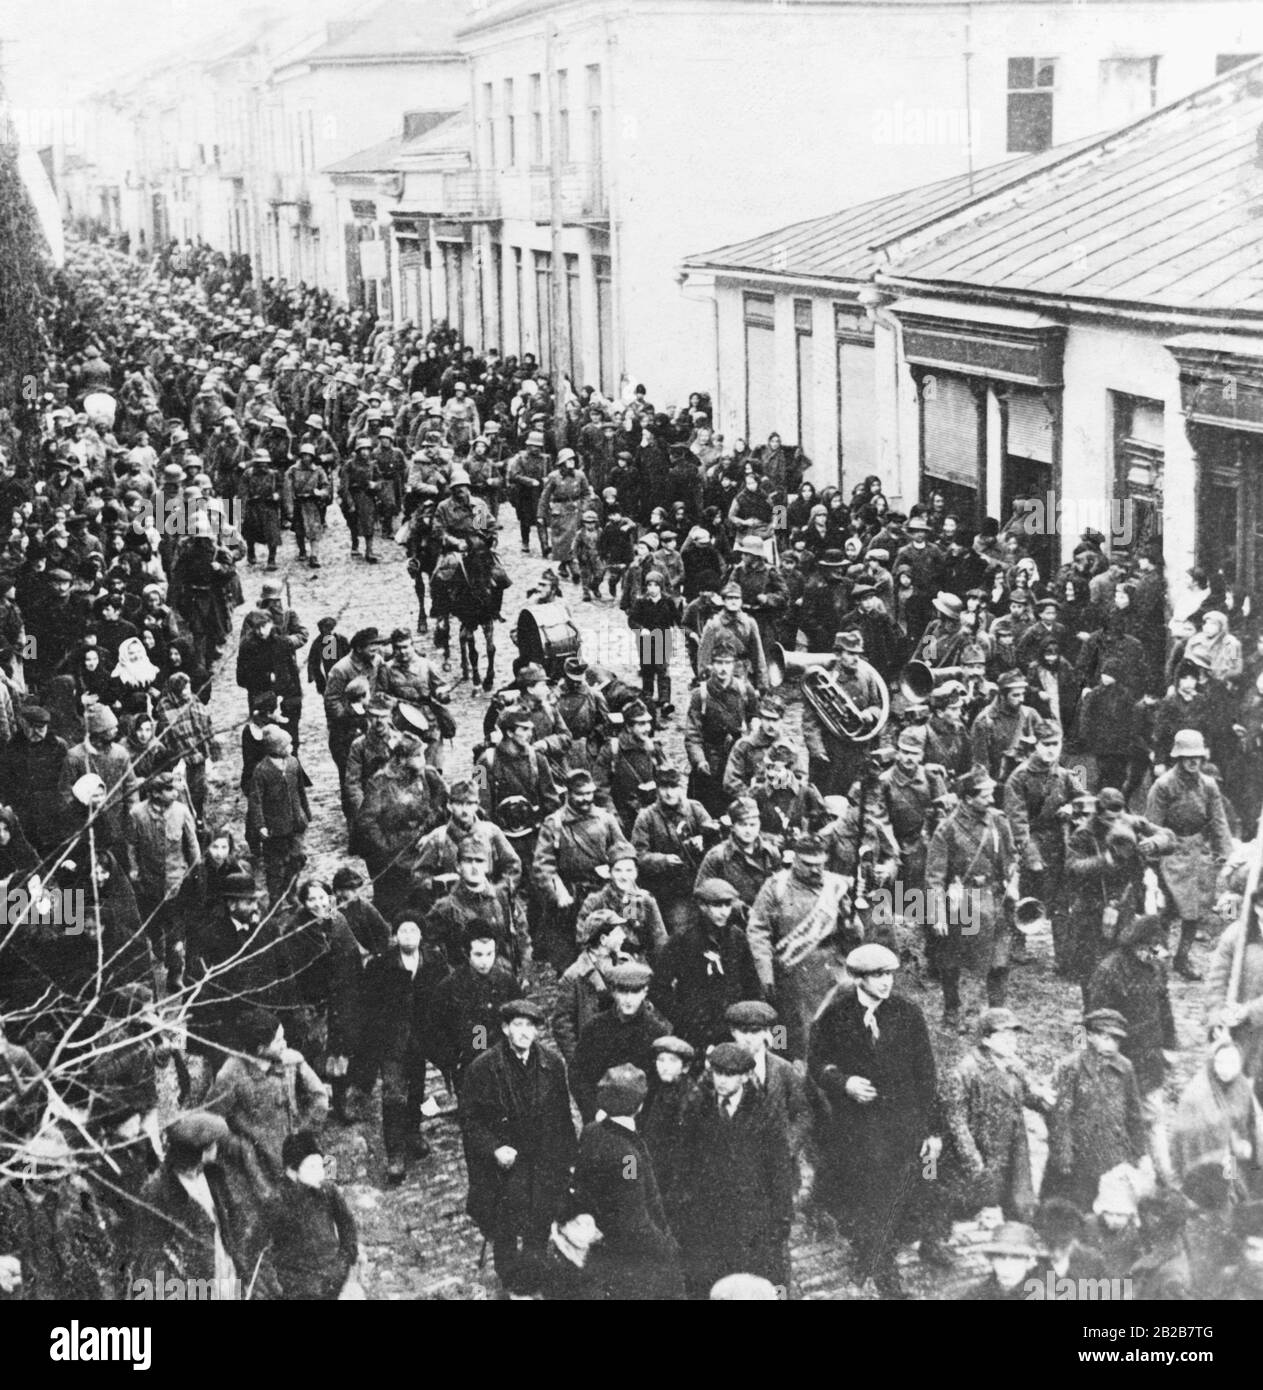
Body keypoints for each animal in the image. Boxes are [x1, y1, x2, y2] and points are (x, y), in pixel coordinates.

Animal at [427, 528, 508, 686]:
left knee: (461, 635)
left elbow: (490, 649)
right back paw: (448, 662)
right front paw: (477, 679)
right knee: (446, 629)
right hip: (445, 611)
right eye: (473, 565)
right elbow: (474, 653)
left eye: (490, 562)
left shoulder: (486, 619)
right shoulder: (470, 621)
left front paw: (489, 679)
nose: (487, 592)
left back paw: (465, 669)